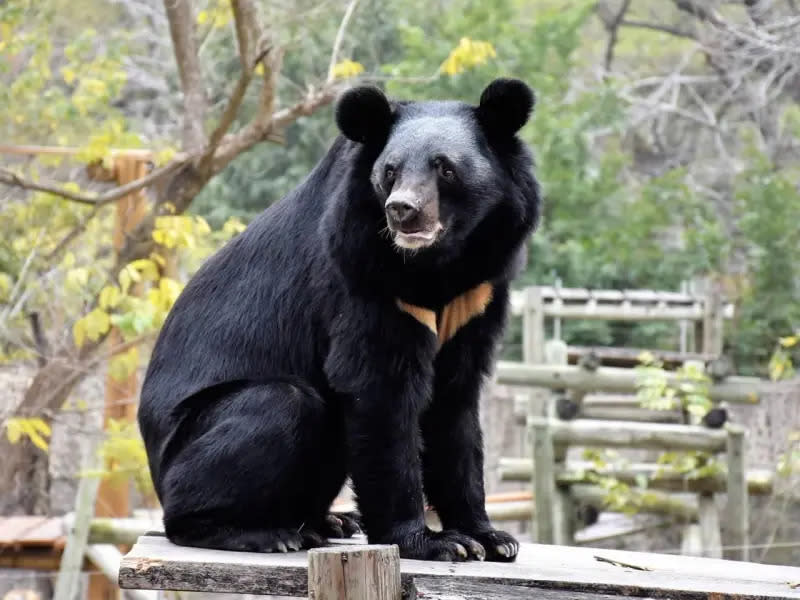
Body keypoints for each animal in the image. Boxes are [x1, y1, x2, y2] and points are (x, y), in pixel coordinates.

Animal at [139, 79, 536, 564]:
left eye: (445, 169)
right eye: (390, 171)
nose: (402, 210)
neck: (438, 264)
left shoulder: (477, 293)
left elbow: (455, 404)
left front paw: (491, 538)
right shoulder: (363, 275)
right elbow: (379, 390)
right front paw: (433, 542)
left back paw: (331, 521)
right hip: (188, 443)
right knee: (281, 403)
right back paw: (261, 533)